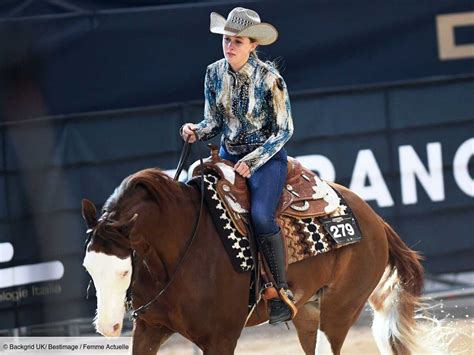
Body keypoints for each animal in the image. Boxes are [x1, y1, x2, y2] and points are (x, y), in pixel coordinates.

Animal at [82, 168, 448, 355]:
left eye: (123, 271)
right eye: (89, 268)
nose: (107, 327)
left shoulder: (221, 338)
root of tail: (377, 222)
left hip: (341, 310)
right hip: (308, 312)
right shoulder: (149, 328)